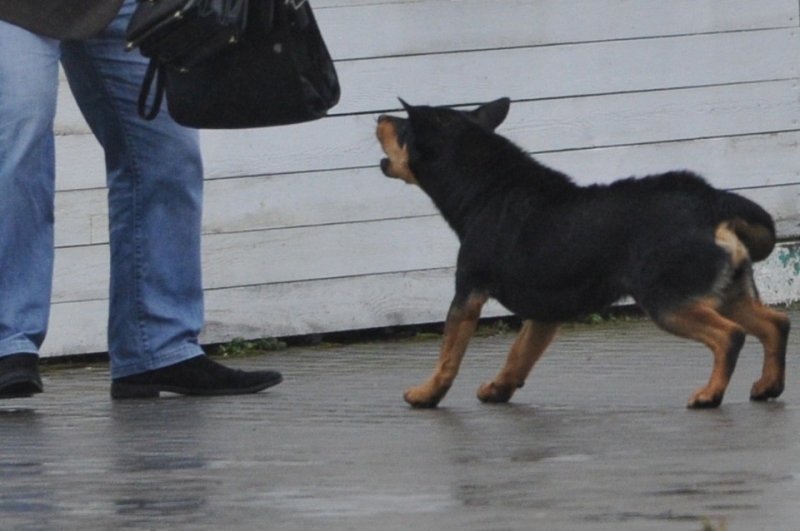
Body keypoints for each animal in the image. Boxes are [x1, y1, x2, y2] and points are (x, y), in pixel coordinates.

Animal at [376, 97, 788, 410]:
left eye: (404, 128)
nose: (379, 117)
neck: (487, 189)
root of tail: (712, 201)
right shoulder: (545, 314)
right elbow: (519, 354)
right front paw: (499, 388)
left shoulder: (467, 292)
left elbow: (449, 355)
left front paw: (426, 394)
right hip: (728, 293)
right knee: (776, 324)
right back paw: (768, 385)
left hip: (668, 300)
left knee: (730, 336)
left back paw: (709, 394)